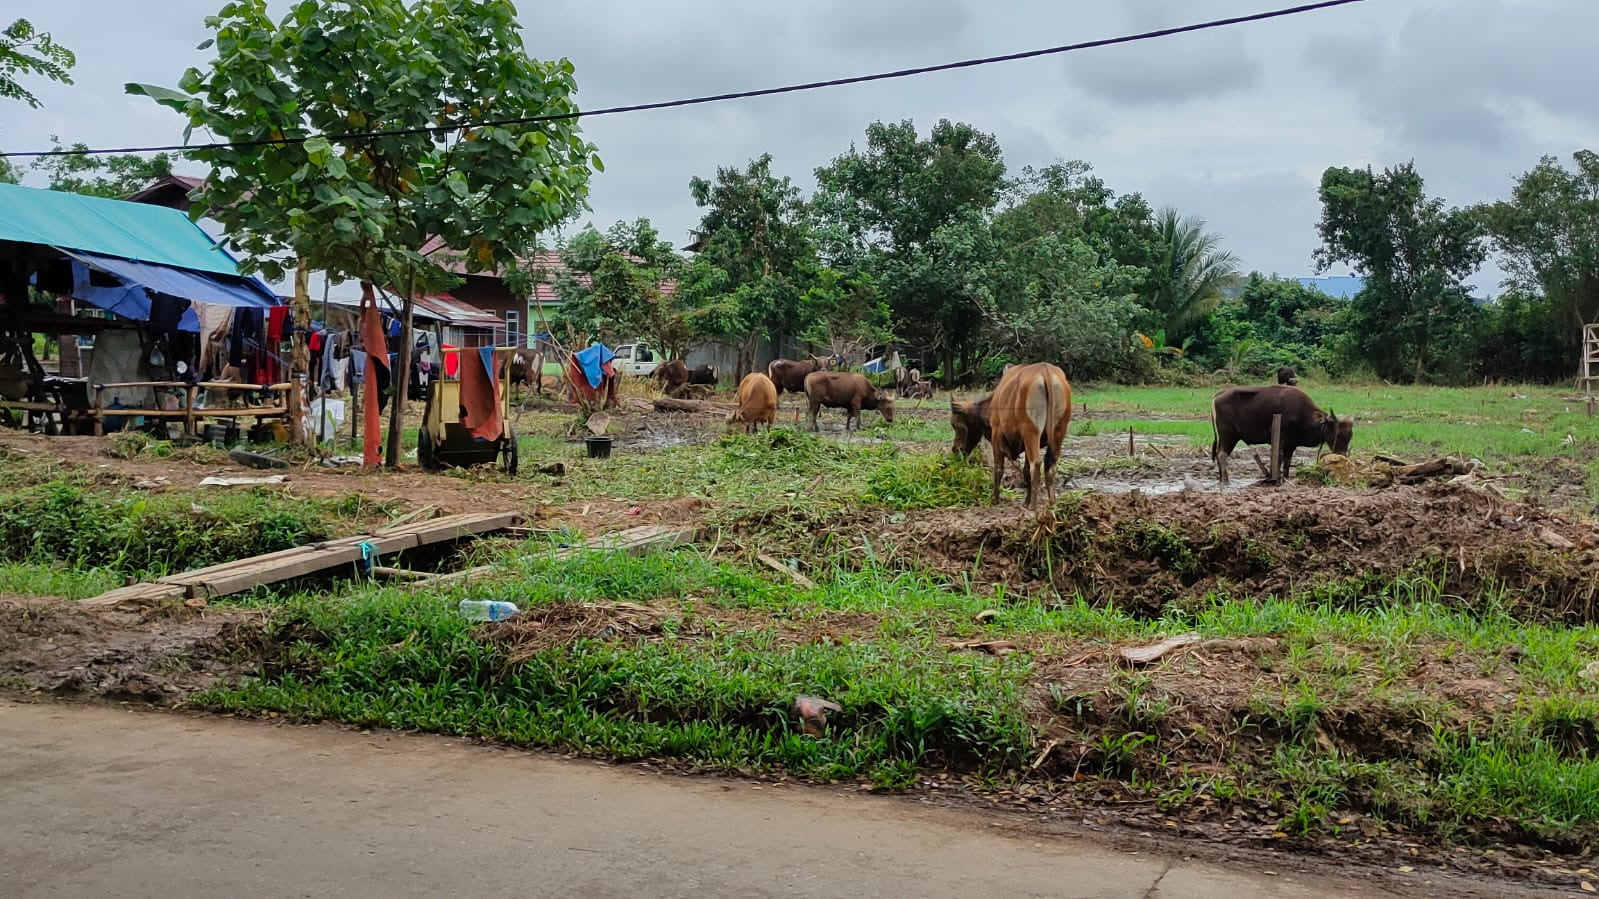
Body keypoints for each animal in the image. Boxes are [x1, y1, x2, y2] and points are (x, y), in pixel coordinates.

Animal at [978, 359, 1068, 508]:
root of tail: (1045, 371)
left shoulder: (997, 433)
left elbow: (998, 468)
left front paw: (995, 499)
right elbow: (1025, 470)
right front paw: (1025, 500)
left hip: (1031, 430)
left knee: (1035, 464)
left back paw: (1033, 506)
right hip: (1059, 429)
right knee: (1050, 464)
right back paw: (1051, 503)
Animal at [1208, 380, 1349, 486]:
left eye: (1349, 436)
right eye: (1337, 434)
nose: (1342, 455)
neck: (1301, 414)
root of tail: (1218, 395)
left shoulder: (1291, 444)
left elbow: (1287, 461)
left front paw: (1285, 478)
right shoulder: (1280, 438)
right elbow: (1279, 458)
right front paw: (1276, 479)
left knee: (1219, 453)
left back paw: (1221, 479)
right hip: (1228, 434)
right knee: (1222, 454)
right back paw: (1226, 480)